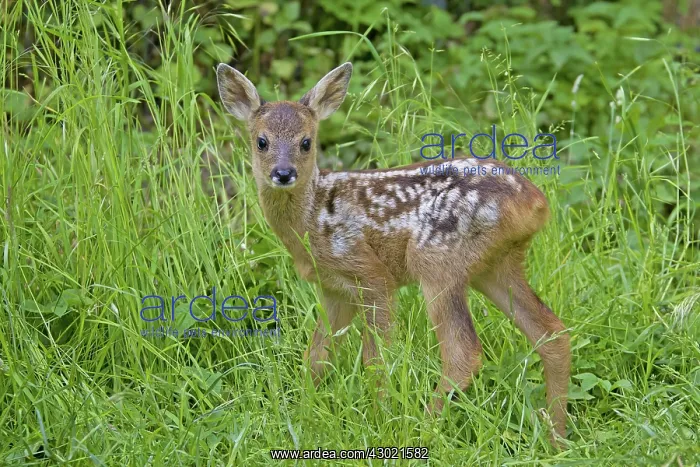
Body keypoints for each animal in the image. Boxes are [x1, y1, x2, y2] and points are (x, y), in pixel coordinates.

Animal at [216, 61, 571, 445]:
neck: (312, 222)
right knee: (552, 332)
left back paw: (422, 429)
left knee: (464, 352)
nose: (283, 173)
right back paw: (557, 436)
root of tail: (535, 202)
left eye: (306, 142)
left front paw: (379, 418)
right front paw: (301, 415)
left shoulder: (372, 275)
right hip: (494, 267)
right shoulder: (333, 289)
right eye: (261, 141)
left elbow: (376, 357)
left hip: (436, 260)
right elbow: (317, 356)